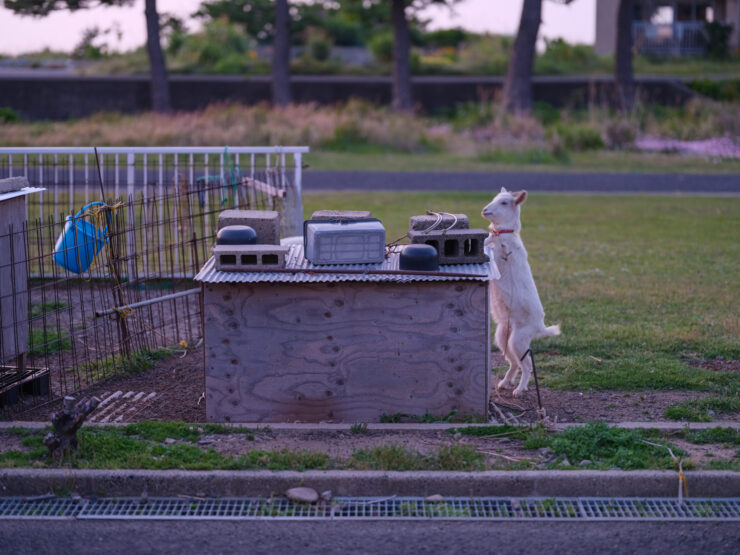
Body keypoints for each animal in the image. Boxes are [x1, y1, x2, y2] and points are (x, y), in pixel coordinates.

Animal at [480, 189, 560, 398]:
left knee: (527, 365)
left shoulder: (496, 254)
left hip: (518, 340)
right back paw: (504, 383)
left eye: (505, 202)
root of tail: (540, 327)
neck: (502, 233)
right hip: (503, 337)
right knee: (515, 362)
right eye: (494, 198)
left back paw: (519, 389)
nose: (485, 210)